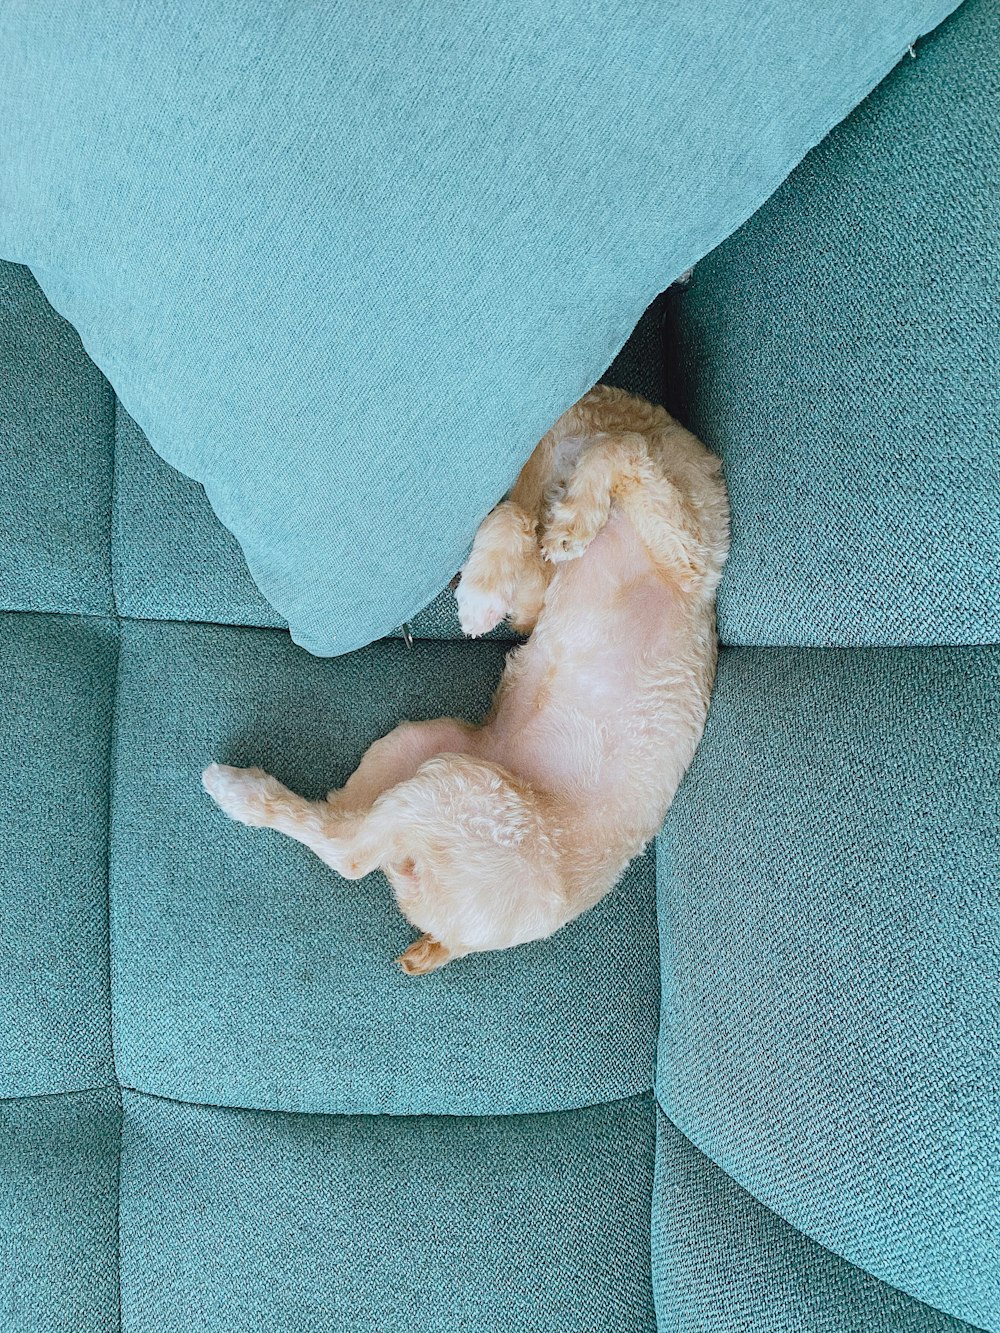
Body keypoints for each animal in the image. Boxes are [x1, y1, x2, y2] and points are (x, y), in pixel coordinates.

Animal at [205, 381, 730, 975]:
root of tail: (451, 941)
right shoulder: (536, 601)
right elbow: (513, 517)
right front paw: (485, 590)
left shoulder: (689, 552)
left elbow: (618, 450)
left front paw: (568, 523)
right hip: (422, 749)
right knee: (350, 830)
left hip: (465, 792)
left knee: (349, 853)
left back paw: (240, 792)